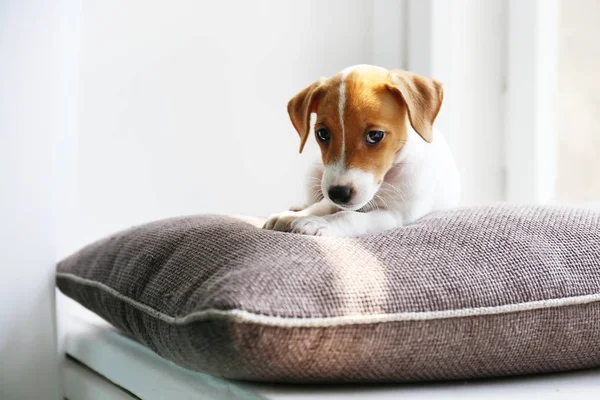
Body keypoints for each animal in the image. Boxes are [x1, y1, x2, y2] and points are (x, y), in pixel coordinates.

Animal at [262, 64, 460, 236]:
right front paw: (294, 216)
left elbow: (348, 215)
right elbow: (322, 205)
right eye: (322, 134)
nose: (338, 193)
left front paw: (320, 222)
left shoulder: (393, 215)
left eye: (375, 135)